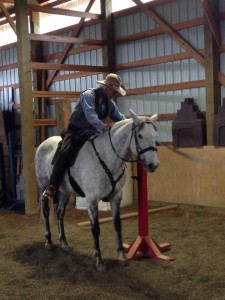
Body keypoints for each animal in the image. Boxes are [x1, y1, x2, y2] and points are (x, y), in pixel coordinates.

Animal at [34, 109, 159, 270]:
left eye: (155, 135)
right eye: (140, 135)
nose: (153, 165)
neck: (106, 157)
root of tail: (43, 143)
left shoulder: (115, 196)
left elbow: (117, 224)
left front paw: (122, 257)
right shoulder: (92, 200)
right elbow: (96, 229)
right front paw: (99, 261)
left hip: (64, 192)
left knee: (60, 213)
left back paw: (64, 243)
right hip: (44, 185)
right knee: (46, 209)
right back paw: (48, 241)